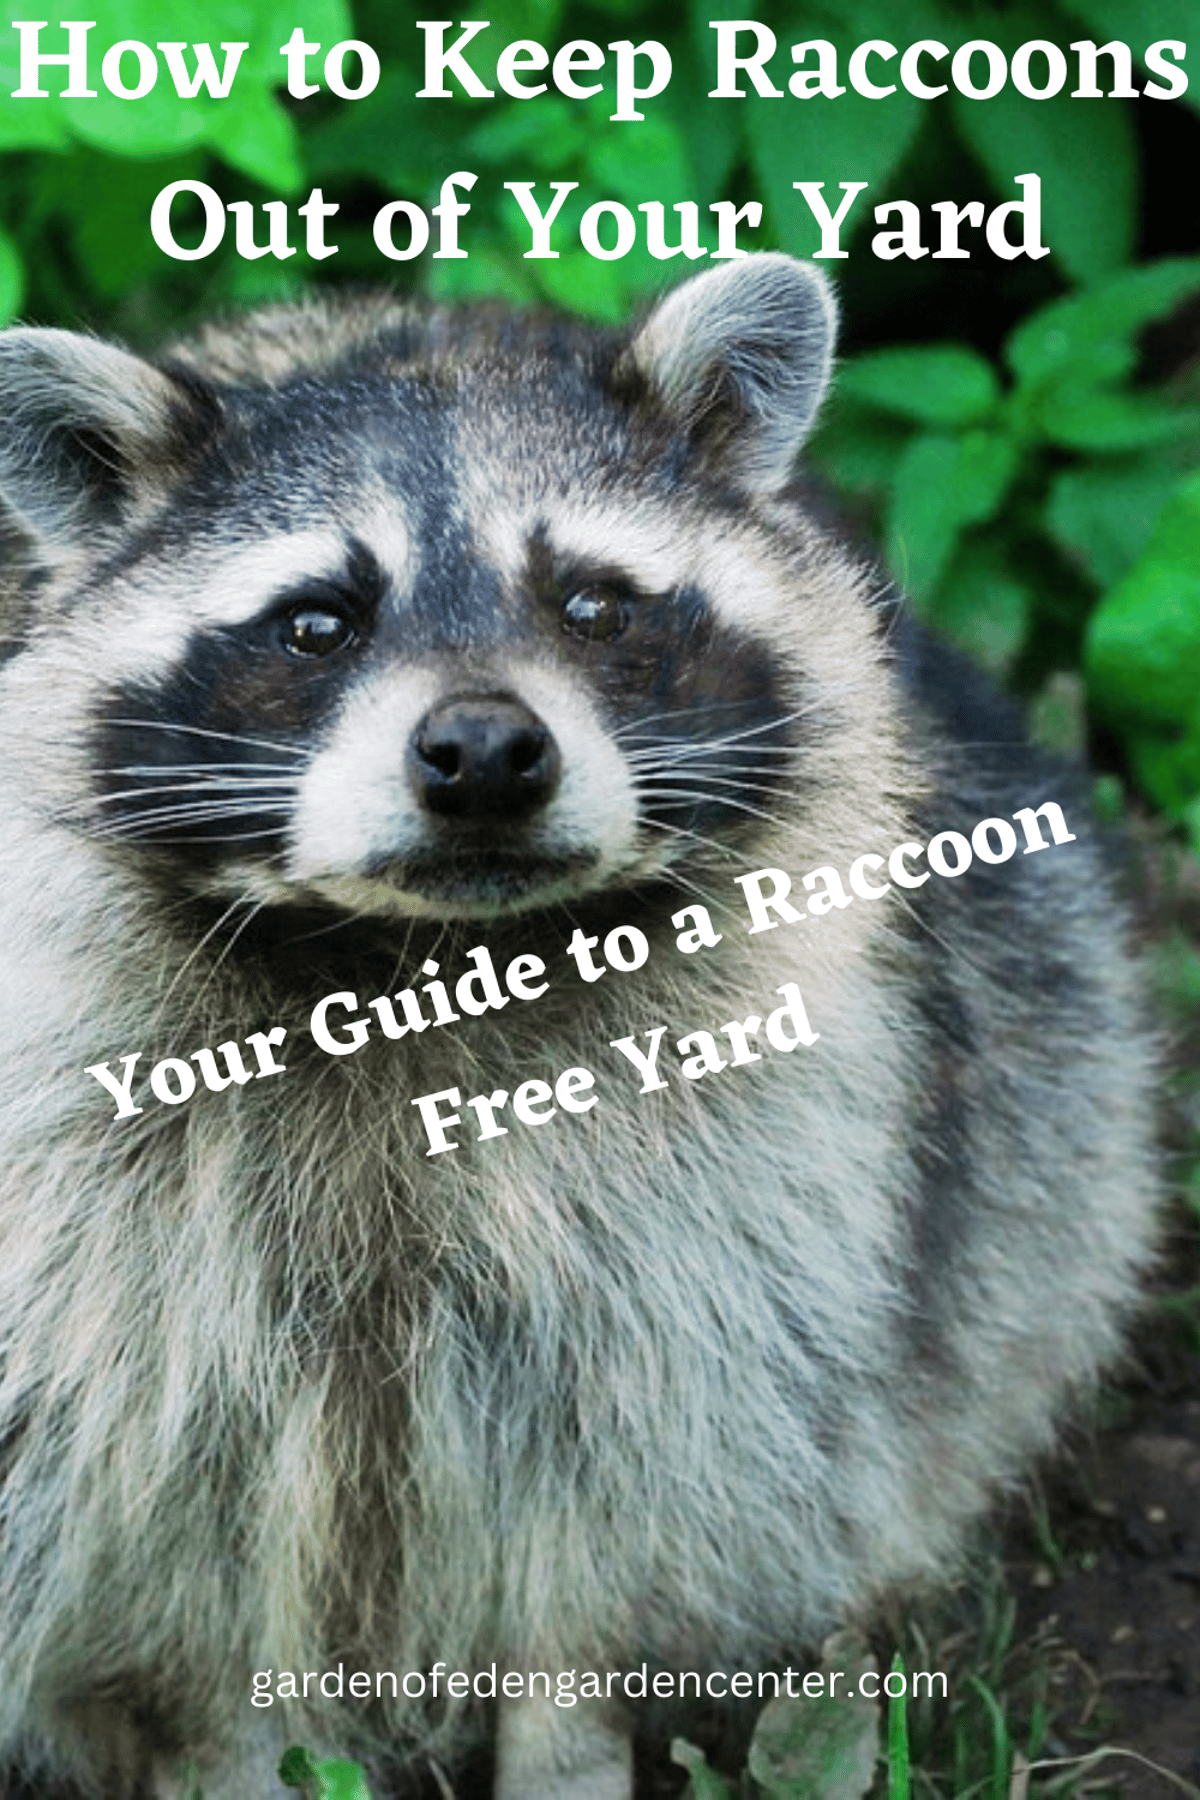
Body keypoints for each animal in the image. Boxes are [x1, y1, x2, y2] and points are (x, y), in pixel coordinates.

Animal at [0, 255, 1158, 1800]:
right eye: (316, 623)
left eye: (593, 605)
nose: (486, 753)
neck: (429, 961)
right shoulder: (102, 1209)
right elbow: (160, 1521)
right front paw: (216, 1742)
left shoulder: (746, 1180)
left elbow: (637, 1473)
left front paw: (570, 1734)